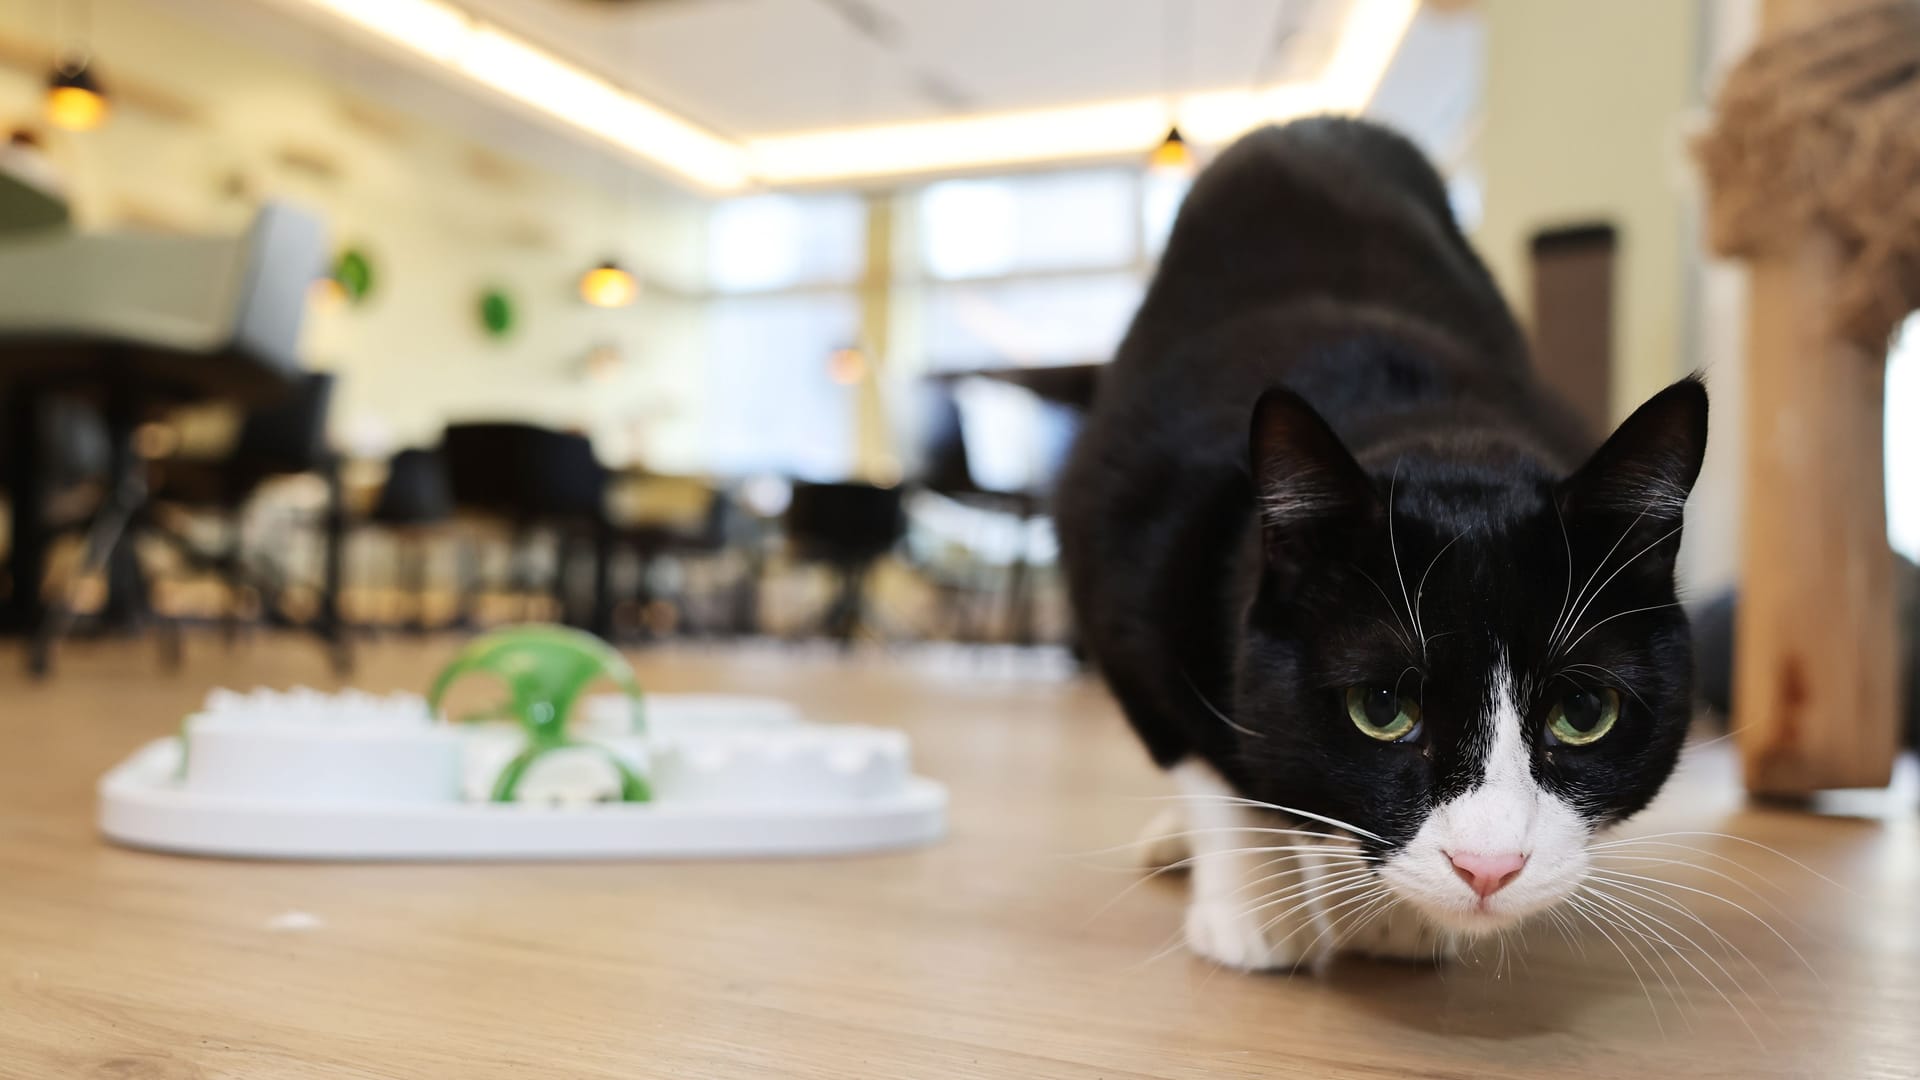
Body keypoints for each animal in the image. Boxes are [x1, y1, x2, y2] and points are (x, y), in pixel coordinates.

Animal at [1059, 117, 1704, 968]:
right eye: (1382, 708)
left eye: (1585, 710)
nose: (1488, 866)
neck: (1428, 423)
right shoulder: (1121, 557)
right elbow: (1204, 758)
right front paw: (1257, 908)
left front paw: (1393, 921)